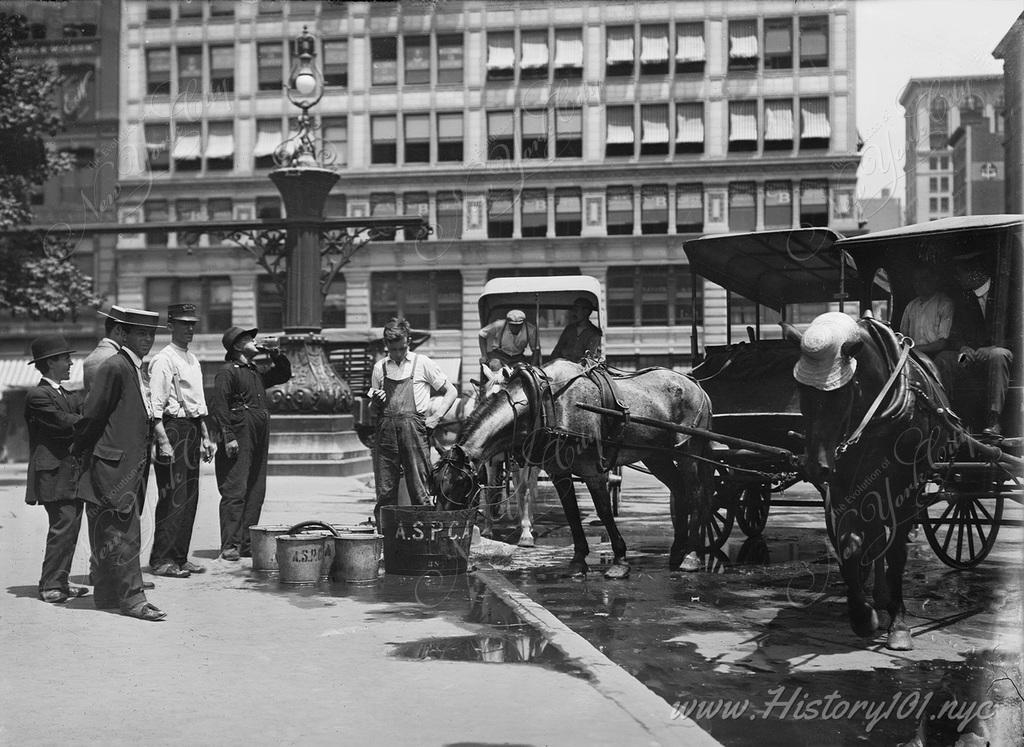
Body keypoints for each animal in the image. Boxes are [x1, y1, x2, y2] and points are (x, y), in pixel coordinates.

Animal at [432, 356, 712, 577]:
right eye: (436, 486)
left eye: (460, 485)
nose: (442, 534)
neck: (546, 402)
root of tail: (696, 385)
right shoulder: (559, 473)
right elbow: (571, 514)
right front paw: (578, 561)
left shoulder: (594, 472)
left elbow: (604, 512)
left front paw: (620, 561)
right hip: (656, 456)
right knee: (679, 492)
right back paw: (677, 551)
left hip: (688, 451)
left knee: (697, 494)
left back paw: (692, 556)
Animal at [794, 309, 954, 647]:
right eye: (801, 391)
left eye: (841, 394)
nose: (815, 467)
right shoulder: (843, 485)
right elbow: (849, 545)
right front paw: (862, 615)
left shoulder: (907, 486)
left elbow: (897, 554)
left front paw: (899, 624)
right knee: (875, 535)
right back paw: (878, 596)